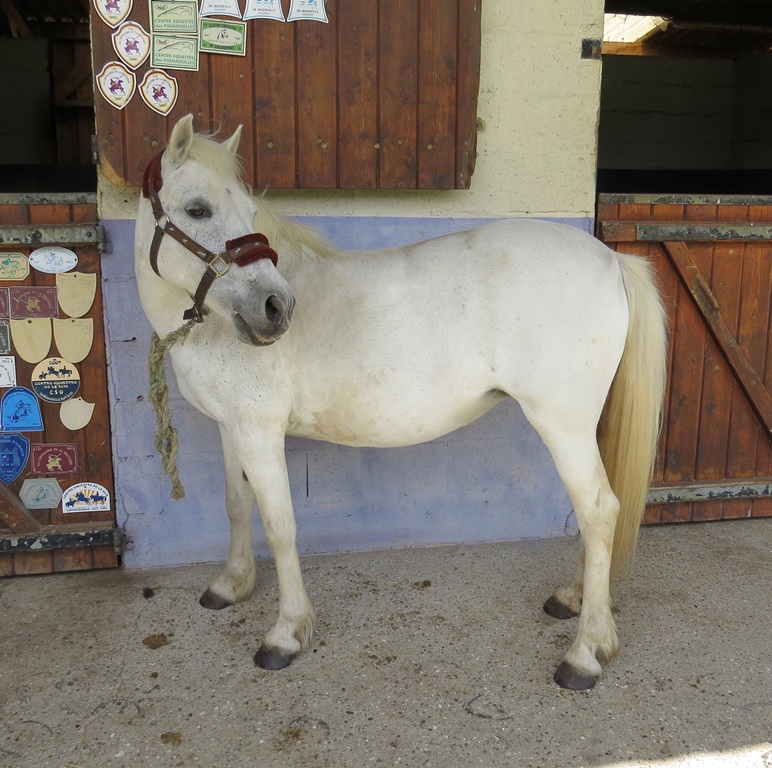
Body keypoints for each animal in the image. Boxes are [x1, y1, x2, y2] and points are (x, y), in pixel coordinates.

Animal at [136, 115, 668, 688]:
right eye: (198, 209)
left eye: (249, 213)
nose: (276, 307)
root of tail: (611, 258)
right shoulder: (231, 428)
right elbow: (237, 506)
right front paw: (230, 586)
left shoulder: (259, 432)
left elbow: (280, 527)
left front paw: (287, 633)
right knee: (595, 512)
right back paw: (573, 599)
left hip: (562, 424)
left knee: (598, 510)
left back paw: (586, 653)